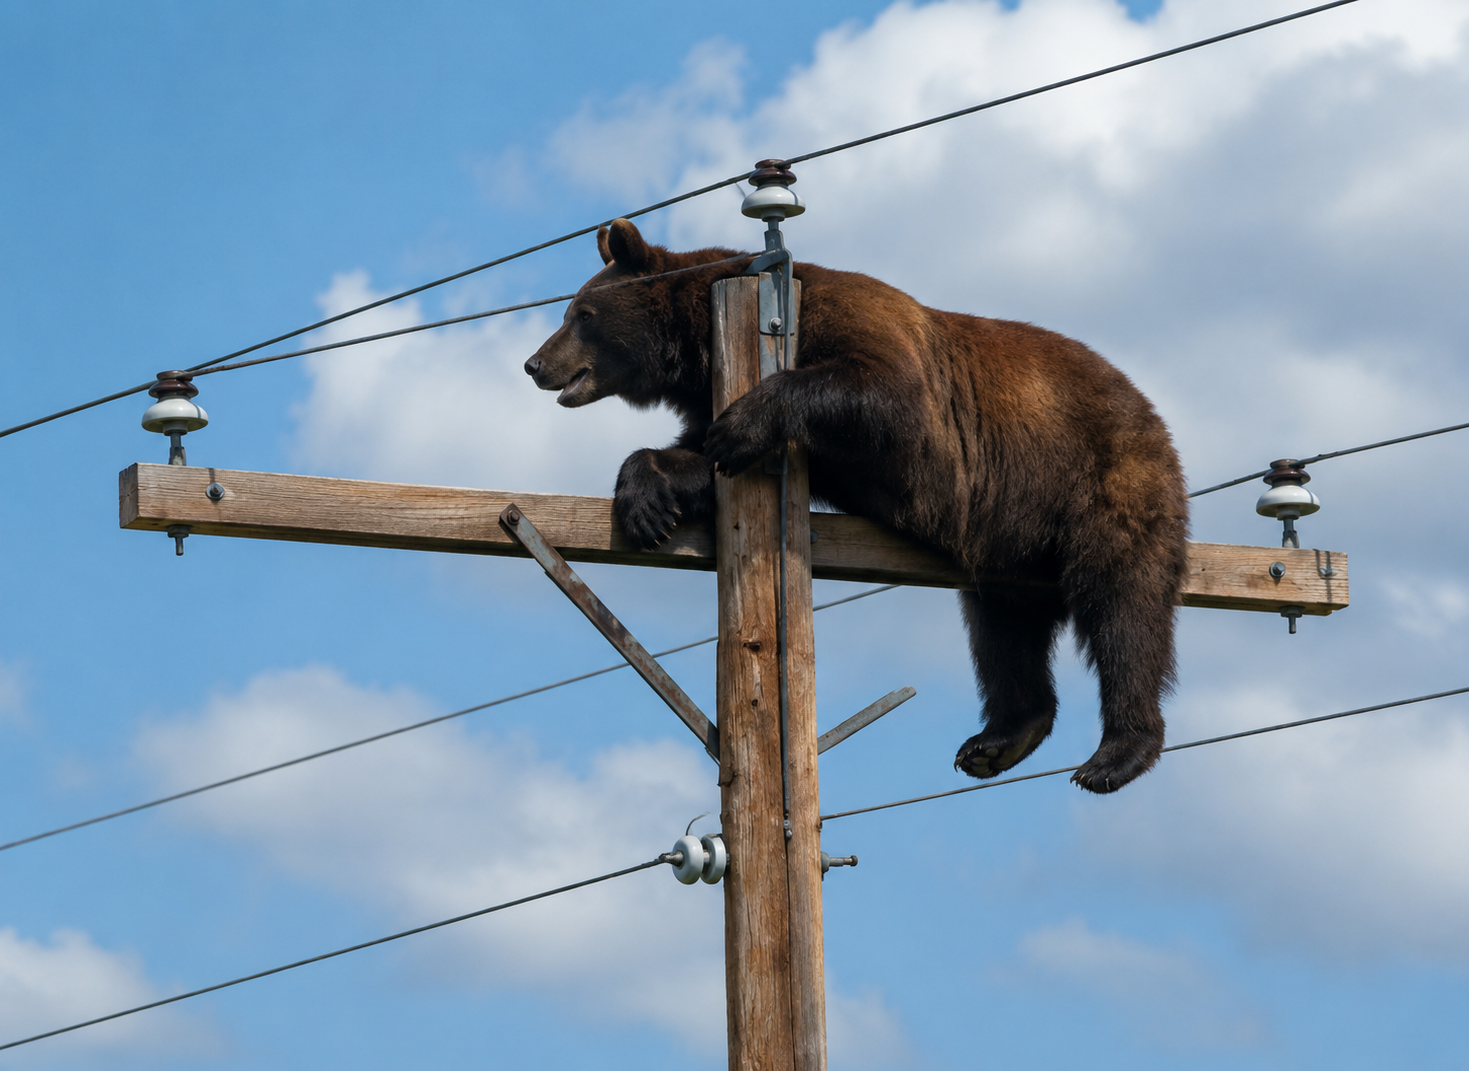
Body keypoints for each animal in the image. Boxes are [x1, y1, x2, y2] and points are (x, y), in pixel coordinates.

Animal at [524, 218, 1189, 793]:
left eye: (581, 314)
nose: (535, 363)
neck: (703, 347)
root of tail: (1150, 409)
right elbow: (696, 459)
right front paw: (648, 502)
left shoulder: (856, 333)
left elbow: (882, 391)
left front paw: (740, 426)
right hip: (1009, 536)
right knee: (1002, 629)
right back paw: (998, 739)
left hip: (1102, 478)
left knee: (1124, 606)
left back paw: (1114, 755)